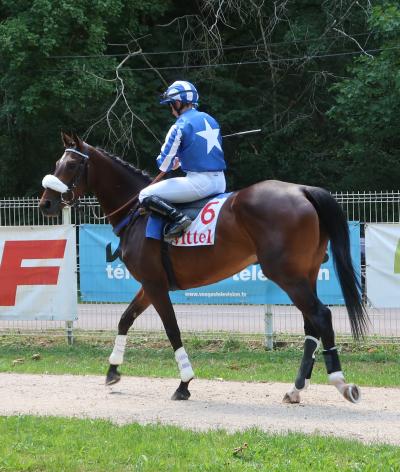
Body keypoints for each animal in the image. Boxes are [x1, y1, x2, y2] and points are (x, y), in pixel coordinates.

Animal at [39, 134, 368, 406]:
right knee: (311, 324)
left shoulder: (155, 285)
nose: (46, 204)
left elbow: (172, 329)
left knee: (321, 316)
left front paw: (184, 383)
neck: (137, 211)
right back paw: (296, 389)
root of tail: (301, 190)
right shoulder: (149, 285)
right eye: (56, 163)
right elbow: (125, 319)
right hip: (305, 275)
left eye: (70, 165)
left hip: (288, 276)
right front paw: (112, 369)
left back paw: (340, 382)